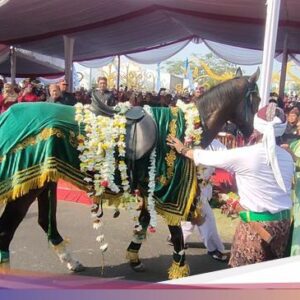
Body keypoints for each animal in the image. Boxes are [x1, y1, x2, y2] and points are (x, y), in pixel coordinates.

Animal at [0, 68, 260, 278]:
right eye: (256, 99)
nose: (253, 134)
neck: (188, 126)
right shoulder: (167, 191)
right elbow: (175, 231)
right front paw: (179, 268)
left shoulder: (148, 188)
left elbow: (144, 220)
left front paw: (134, 257)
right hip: (26, 185)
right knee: (8, 225)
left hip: (43, 180)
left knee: (45, 221)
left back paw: (71, 261)